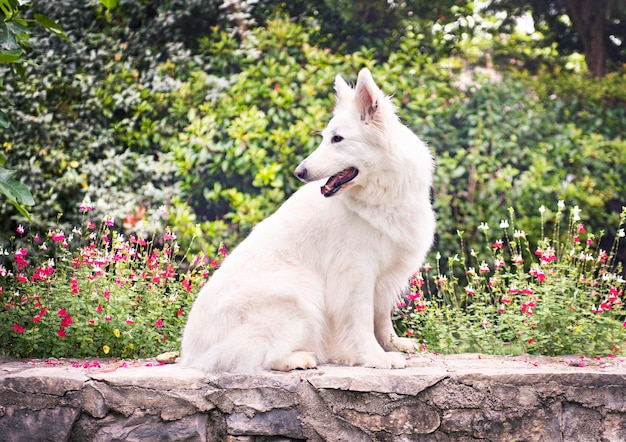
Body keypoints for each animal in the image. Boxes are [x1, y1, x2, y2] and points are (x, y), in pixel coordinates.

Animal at [180, 67, 434, 372]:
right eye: (326, 138)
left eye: (337, 139)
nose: (299, 172)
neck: (381, 194)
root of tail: (190, 355)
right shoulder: (355, 274)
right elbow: (361, 321)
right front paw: (375, 357)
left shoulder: (384, 277)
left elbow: (382, 318)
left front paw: (393, 345)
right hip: (298, 293)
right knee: (252, 356)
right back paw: (299, 358)